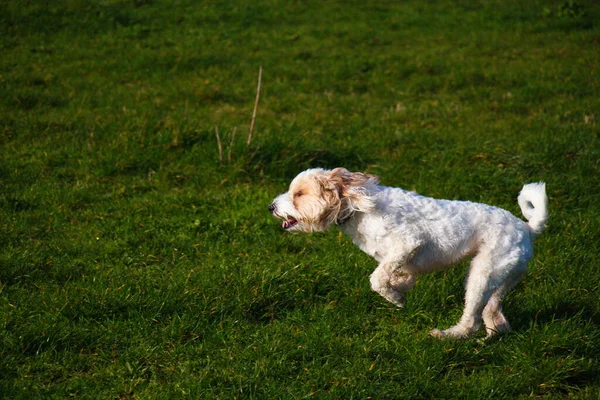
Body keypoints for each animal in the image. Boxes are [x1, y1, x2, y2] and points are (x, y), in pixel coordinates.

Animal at [268, 167, 548, 340]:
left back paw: (447, 336)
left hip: (482, 274)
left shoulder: (408, 243)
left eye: (299, 194)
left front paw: (396, 299)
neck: (357, 207)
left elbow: (377, 279)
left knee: (473, 320)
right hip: (502, 277)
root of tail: (527, 228)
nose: (271, 207)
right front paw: (400, 288)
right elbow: (396, 275)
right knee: (495, 317)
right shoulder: (397, 258)